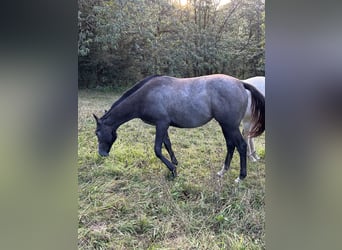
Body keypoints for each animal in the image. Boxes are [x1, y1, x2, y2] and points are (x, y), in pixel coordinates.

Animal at [93, 74, 264, 182]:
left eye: (97, 133)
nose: (102, 153)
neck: (146, 95)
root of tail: (240, 83)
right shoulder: (163, 125)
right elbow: (167, 144)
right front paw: (174, 163)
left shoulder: (161, 124)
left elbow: (157, 149)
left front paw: (173, 171)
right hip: (226, 126)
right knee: (230, 145)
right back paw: (222, 172)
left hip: (230, 125)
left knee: (241, 146)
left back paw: (240, 177)